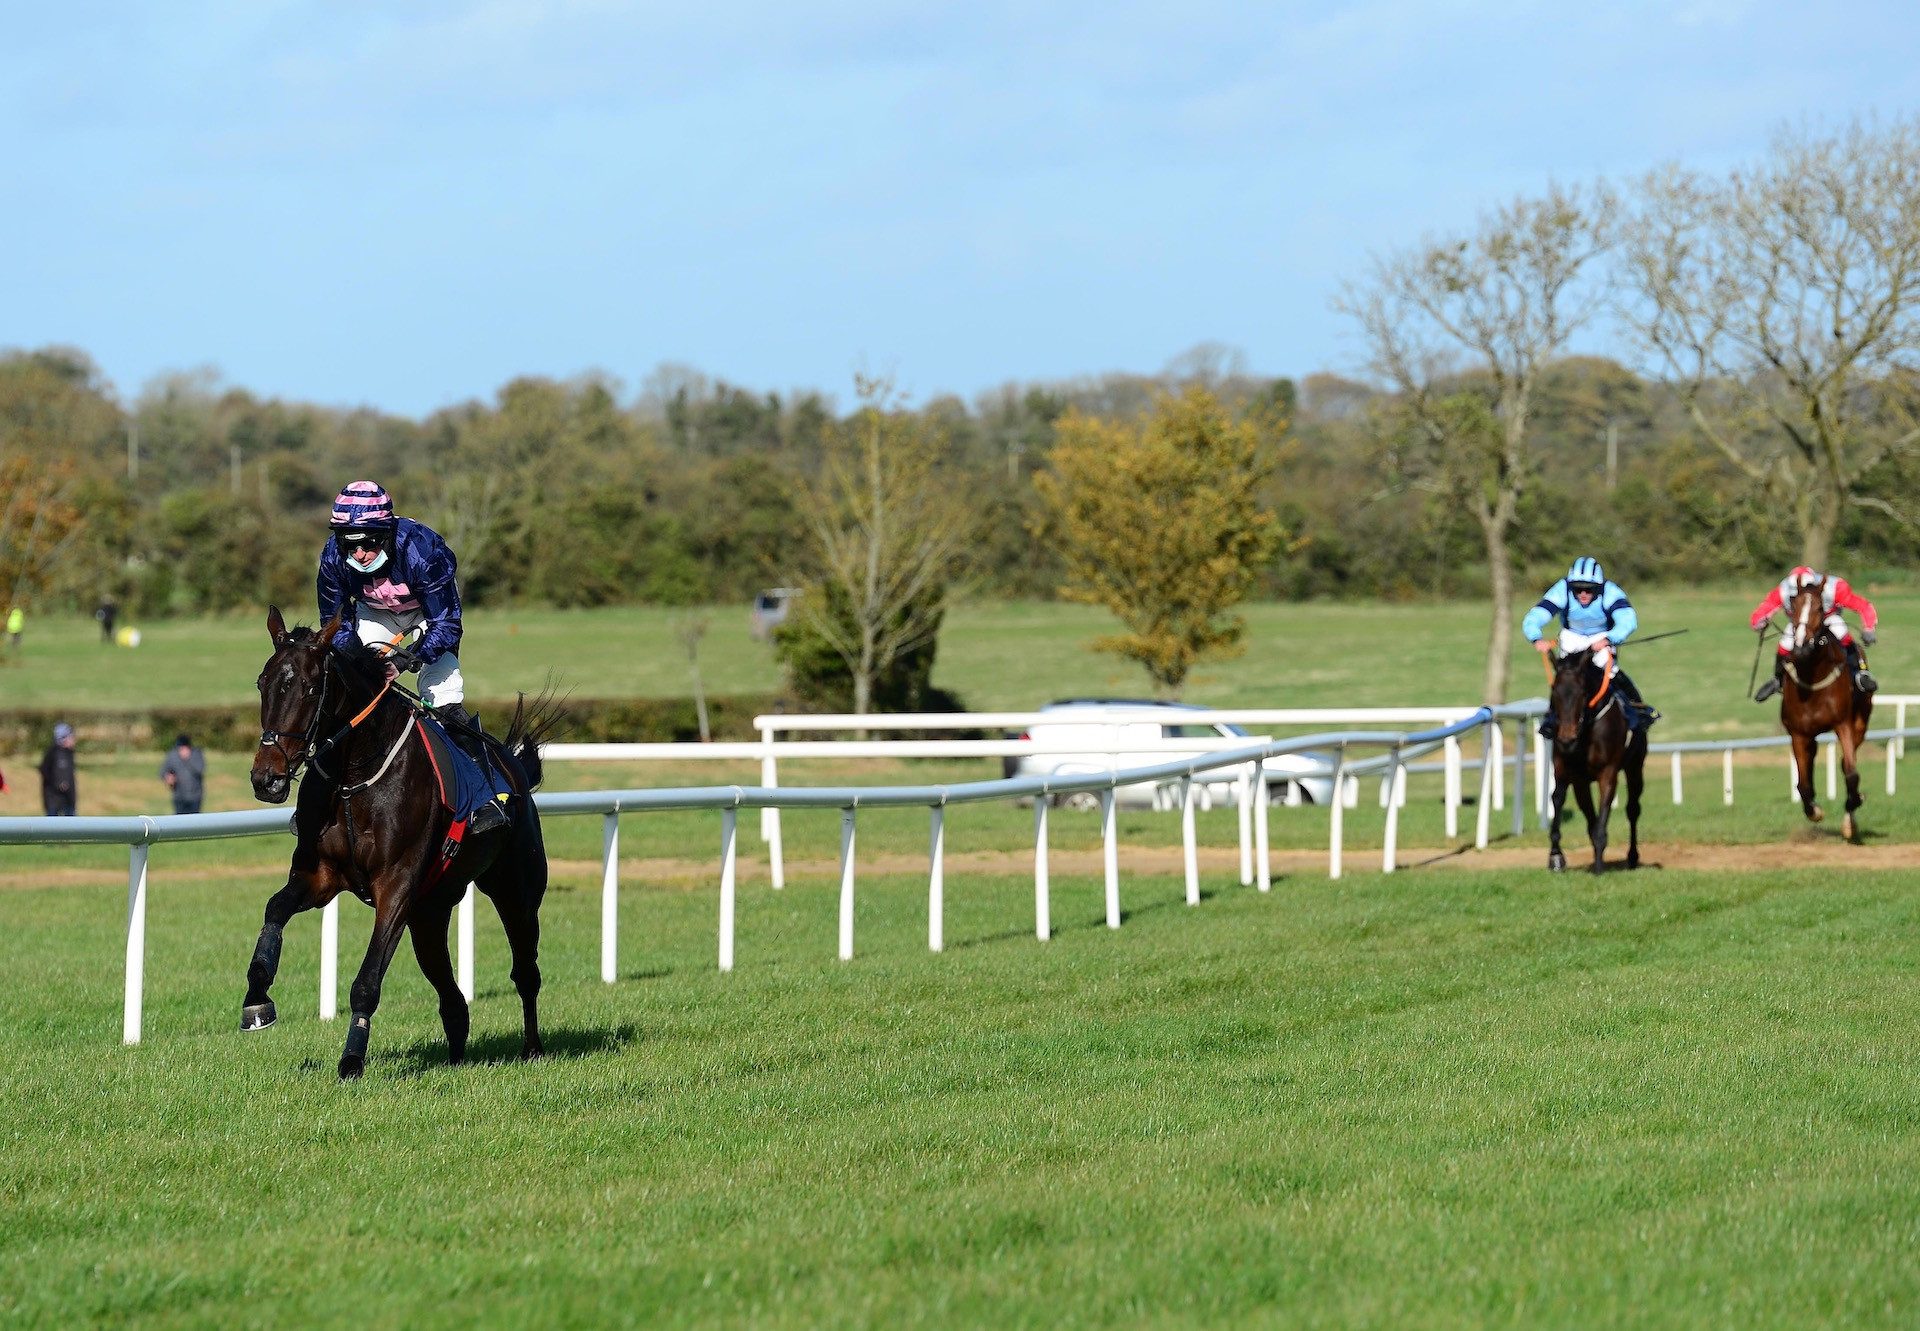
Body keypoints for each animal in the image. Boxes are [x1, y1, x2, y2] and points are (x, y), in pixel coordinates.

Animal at [240, 606, 560, 1075]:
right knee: (450, 994)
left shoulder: (396, 886)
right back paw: (456, 1058)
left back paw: (532, 1048)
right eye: (262, 683)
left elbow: (367, 982)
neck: (354, 777)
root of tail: (513, 764)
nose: (267, 778)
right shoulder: (320, 877)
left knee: (526, 972)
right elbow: (274, 910)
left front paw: (351, 1061)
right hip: (430, 911)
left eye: (309, 687)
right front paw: (256, 1001)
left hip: (515, 891)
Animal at [1543, 645, 1651, 871]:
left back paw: (1632, 856)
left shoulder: (1608, 773)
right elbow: (1583, 814)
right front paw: (1557, 856)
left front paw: (1600, 866)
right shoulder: (1576, 777)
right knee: (1559, 797)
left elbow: (1603, 813)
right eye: (1554, 691)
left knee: (1633, 809)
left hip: (1635, 767)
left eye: (1583, 692)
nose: (1567, 739)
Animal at [1774, 572, 1866, 841]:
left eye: (1819, 607)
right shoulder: (1798, 733)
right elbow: (1802, 784)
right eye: (1793, 606)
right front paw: (1813, 810)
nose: (1802, 646)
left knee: (1846, 765)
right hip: (1810, 735)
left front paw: (1853, 808)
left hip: (1860, 725)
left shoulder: (1843, 724)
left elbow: (1851, 774)